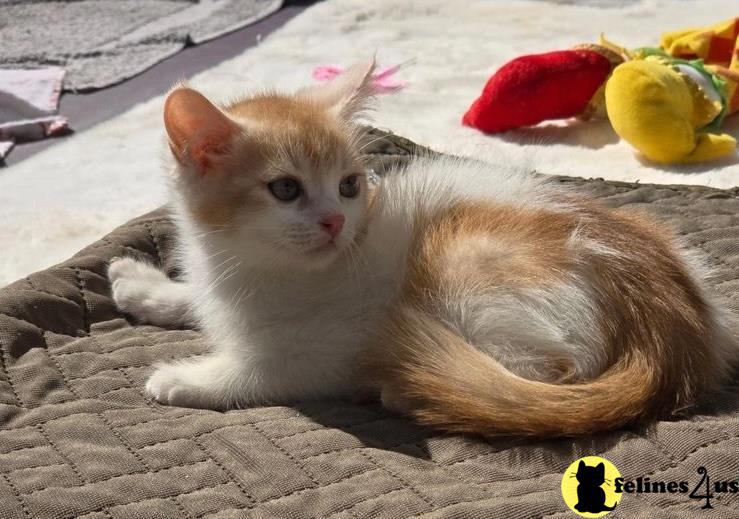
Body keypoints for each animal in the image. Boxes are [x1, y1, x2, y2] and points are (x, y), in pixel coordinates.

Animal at [110, 62, 739, 438]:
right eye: (285, 189)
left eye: (348, 184)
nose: (336, 221)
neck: (253, 266)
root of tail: (676, 329)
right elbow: (197, 299)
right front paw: (144, 287)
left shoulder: (333, 346)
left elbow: (264, 373)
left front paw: (183, 379)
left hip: (465, 263)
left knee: (544, 375)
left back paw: (406, 391)